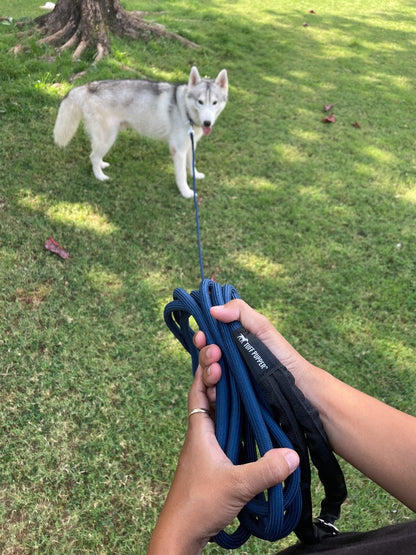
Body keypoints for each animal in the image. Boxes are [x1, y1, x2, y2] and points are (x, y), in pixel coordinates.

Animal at [52, 67, 228, 198]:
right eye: (200, 102)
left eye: (214, 102)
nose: (207, 123)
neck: (184, 108)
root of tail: (87, 86)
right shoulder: (178, 150)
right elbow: (181, 176)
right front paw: (186, 192)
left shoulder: (191, 145)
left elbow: (191, 165)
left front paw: (195, 176)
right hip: (108, 137)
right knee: (93, 156)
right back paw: (99, 176)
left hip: (106, 138)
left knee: (96, 155)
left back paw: (102, 164)